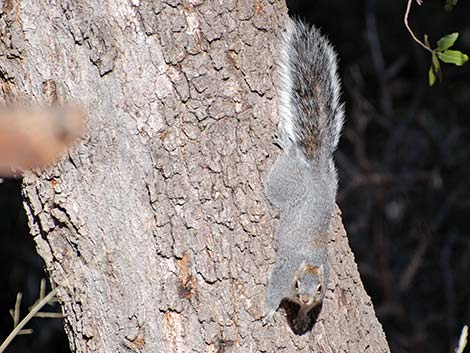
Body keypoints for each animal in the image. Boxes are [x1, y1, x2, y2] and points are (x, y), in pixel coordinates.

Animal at [264, 18, 346, 328]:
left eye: (321, 288)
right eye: (297, 284)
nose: (307, 299)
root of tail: (317, 167)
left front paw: (301, 316)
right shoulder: (282, 275)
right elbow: (273, 290)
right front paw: (269, 310)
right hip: (284, 182)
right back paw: (288, 145)